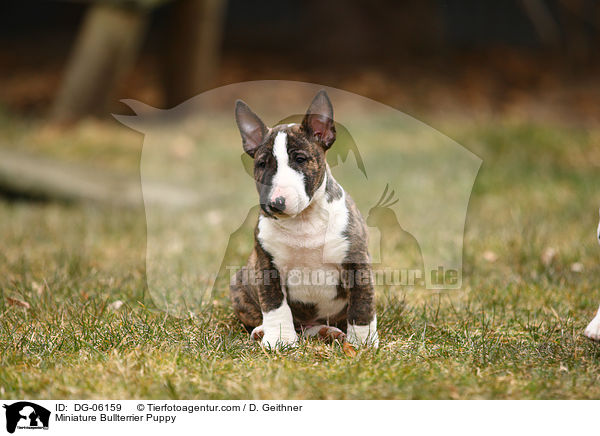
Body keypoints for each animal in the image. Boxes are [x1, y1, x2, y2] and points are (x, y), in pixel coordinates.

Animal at [227, 90, 378, 350]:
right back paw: (264, 331)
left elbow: (362, 303)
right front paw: (279, 340)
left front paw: (363, 342)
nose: (275, 203)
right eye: (262, 164)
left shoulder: (356, 261)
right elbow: (274, 304)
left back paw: (332, 332)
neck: (303, 221)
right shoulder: (267, 265)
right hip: (239, 283)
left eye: (299, 159)